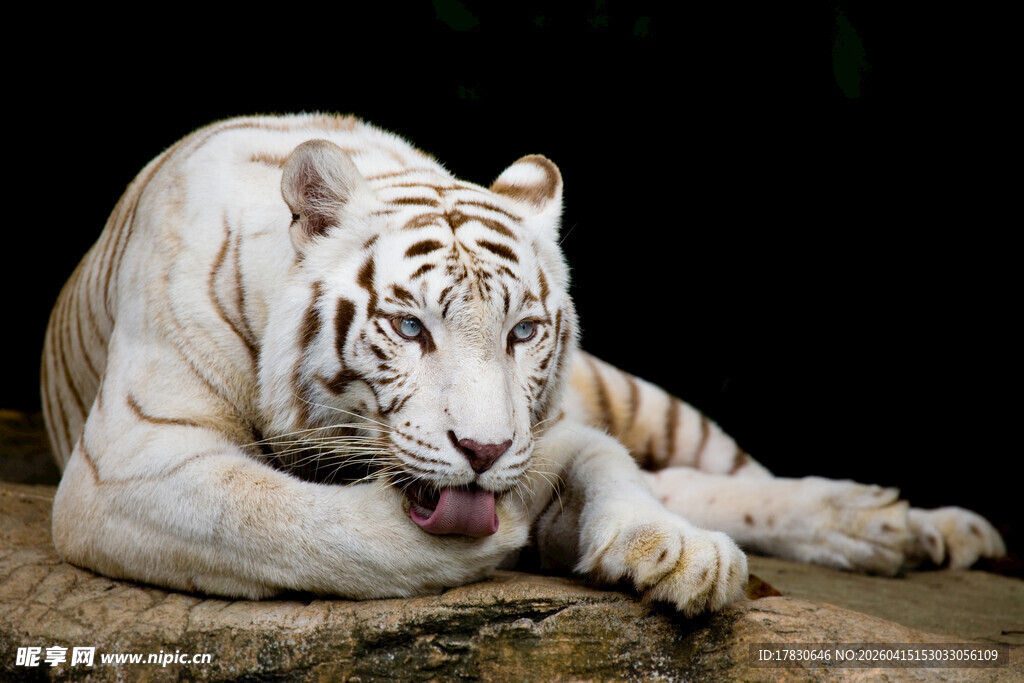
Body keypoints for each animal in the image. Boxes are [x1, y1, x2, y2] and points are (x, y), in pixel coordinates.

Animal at [41, 113, 1005, 615]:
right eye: (410, 326)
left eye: (523, 332)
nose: (484, 451)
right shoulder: (131, 463)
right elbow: (283, 520)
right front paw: (498, 537)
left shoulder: (558, 427)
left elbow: (613, 468)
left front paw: (680, 552)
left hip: (635, 395)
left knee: (724, 473)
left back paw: (907, 525)